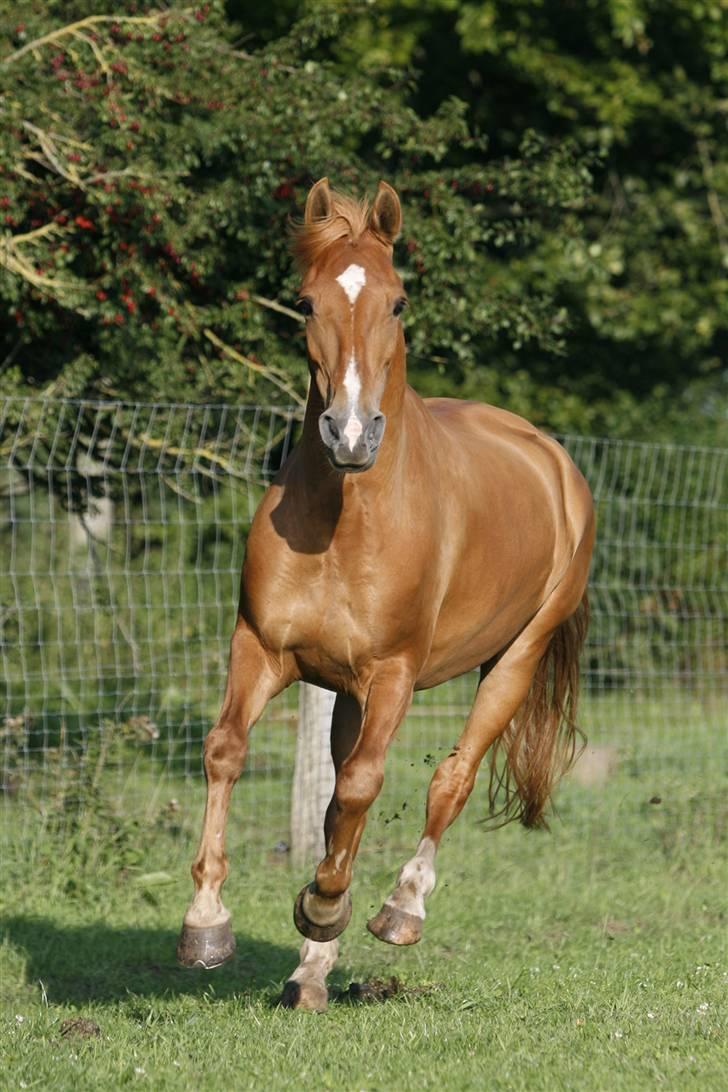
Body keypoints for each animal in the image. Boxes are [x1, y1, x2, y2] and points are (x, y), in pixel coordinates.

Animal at [174, 181, 593, 1013]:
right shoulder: (261, 649)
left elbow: (367, 787)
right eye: (306, 302)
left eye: (398, 302)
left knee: (449, 780)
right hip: (346, 691)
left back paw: (399, 911)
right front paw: (207, 924)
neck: (345, 525)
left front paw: (325, 905)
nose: (349, 434)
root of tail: (551, 458)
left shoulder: (394, 673)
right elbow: (230, 752)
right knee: (342, 803)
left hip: (515, 659)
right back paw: (310, 973)